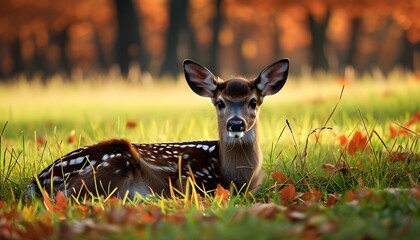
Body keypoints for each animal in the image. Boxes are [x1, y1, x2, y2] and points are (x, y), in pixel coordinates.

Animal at [25, 58, 288, 199]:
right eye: (220, 103)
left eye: (253, 102)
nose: (235, 123)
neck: (235, 175)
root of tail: (35, 185)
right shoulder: (193, 180)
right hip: (115, 162)